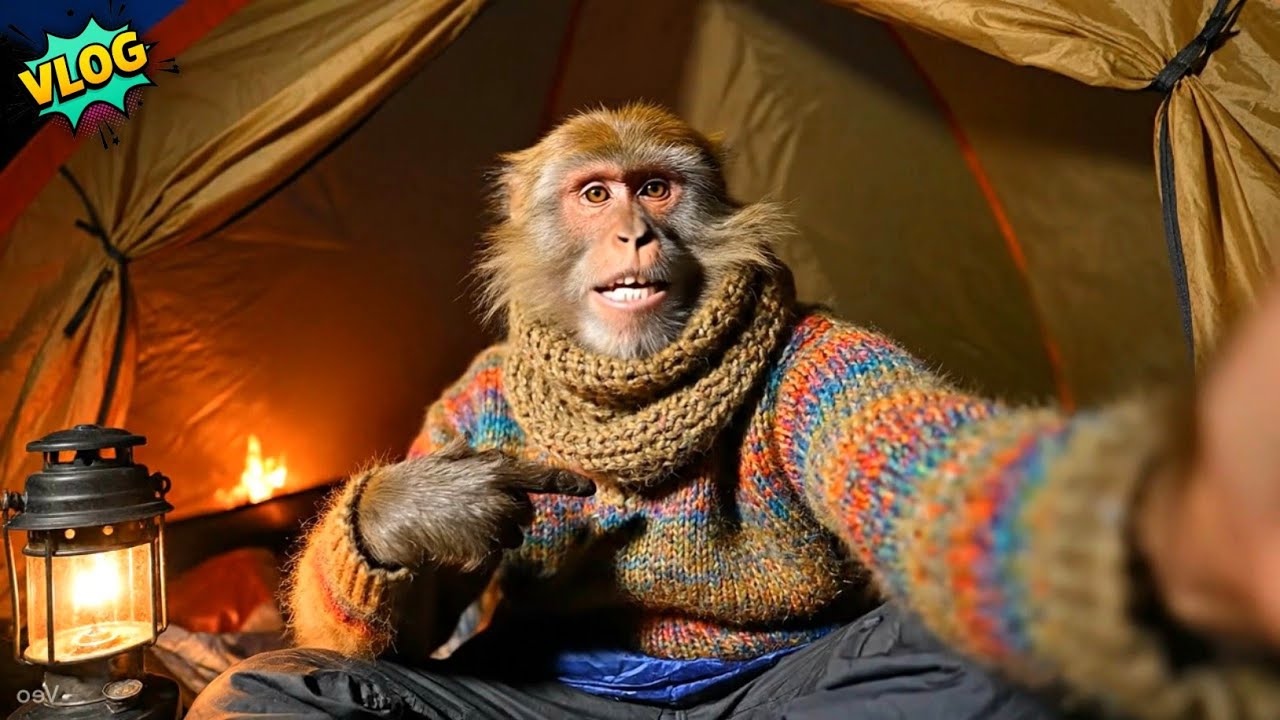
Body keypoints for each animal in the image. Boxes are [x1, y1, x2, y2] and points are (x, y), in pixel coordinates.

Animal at [189, 104, 1280, 719]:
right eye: (595, 194)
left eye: (657, 188)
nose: (633, 232)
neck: (633, 391)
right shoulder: (472, 395)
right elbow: (376, 643)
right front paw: (417, 511)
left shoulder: (828, 366)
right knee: (275, 679)